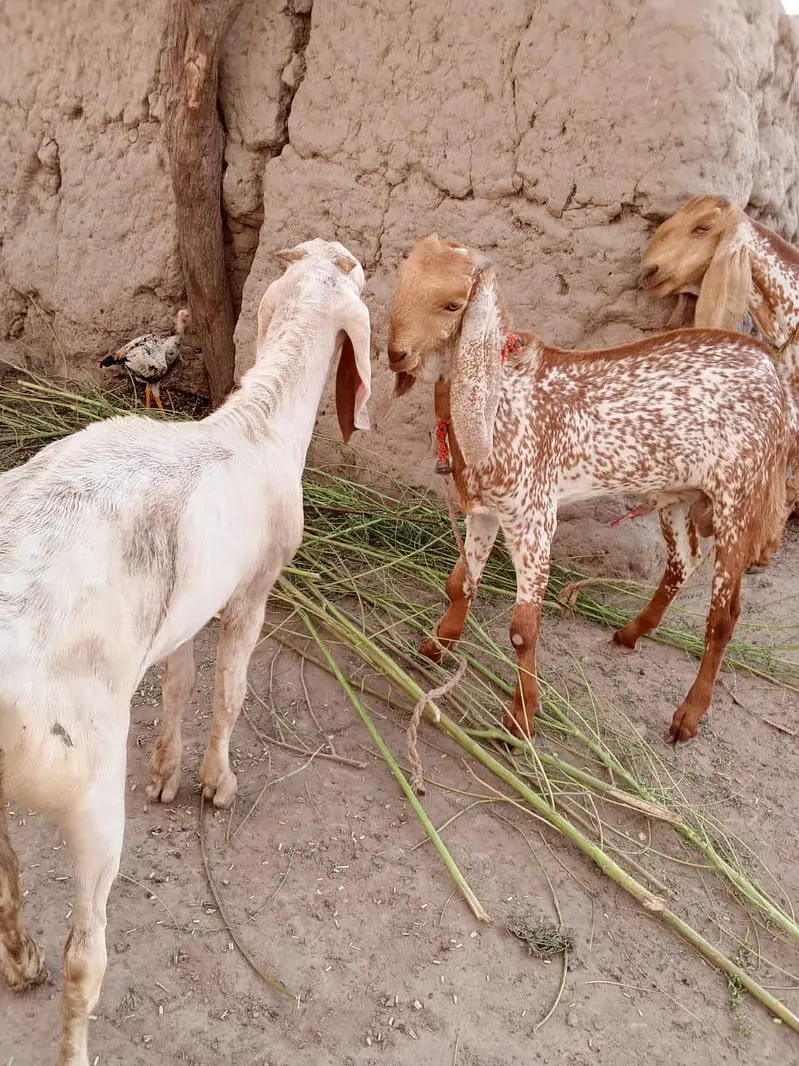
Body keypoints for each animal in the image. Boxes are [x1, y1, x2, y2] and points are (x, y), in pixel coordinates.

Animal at [0, 238, 371, 1066]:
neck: (258, 423)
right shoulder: (254, 591)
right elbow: (229, 689)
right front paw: (215, 783)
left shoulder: (186, 608)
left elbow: (178, 680)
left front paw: (168, 773)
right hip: (85, 786)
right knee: (86, 956)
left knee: (4, 875)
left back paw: (21, 960)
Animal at [386, 236, 792, 747]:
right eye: (402, 281)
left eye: (453, 304)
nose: (395, 354)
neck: (501, 400)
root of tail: (774, 374)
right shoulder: (485, 510)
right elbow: (459, 584)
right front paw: (436, 647)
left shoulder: (534, 514)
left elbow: (522, 628)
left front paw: (523, 717)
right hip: (678, 493)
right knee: (682, 562)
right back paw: (631, 633)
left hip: (739, 497)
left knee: (724, 616)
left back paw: (688, 715)